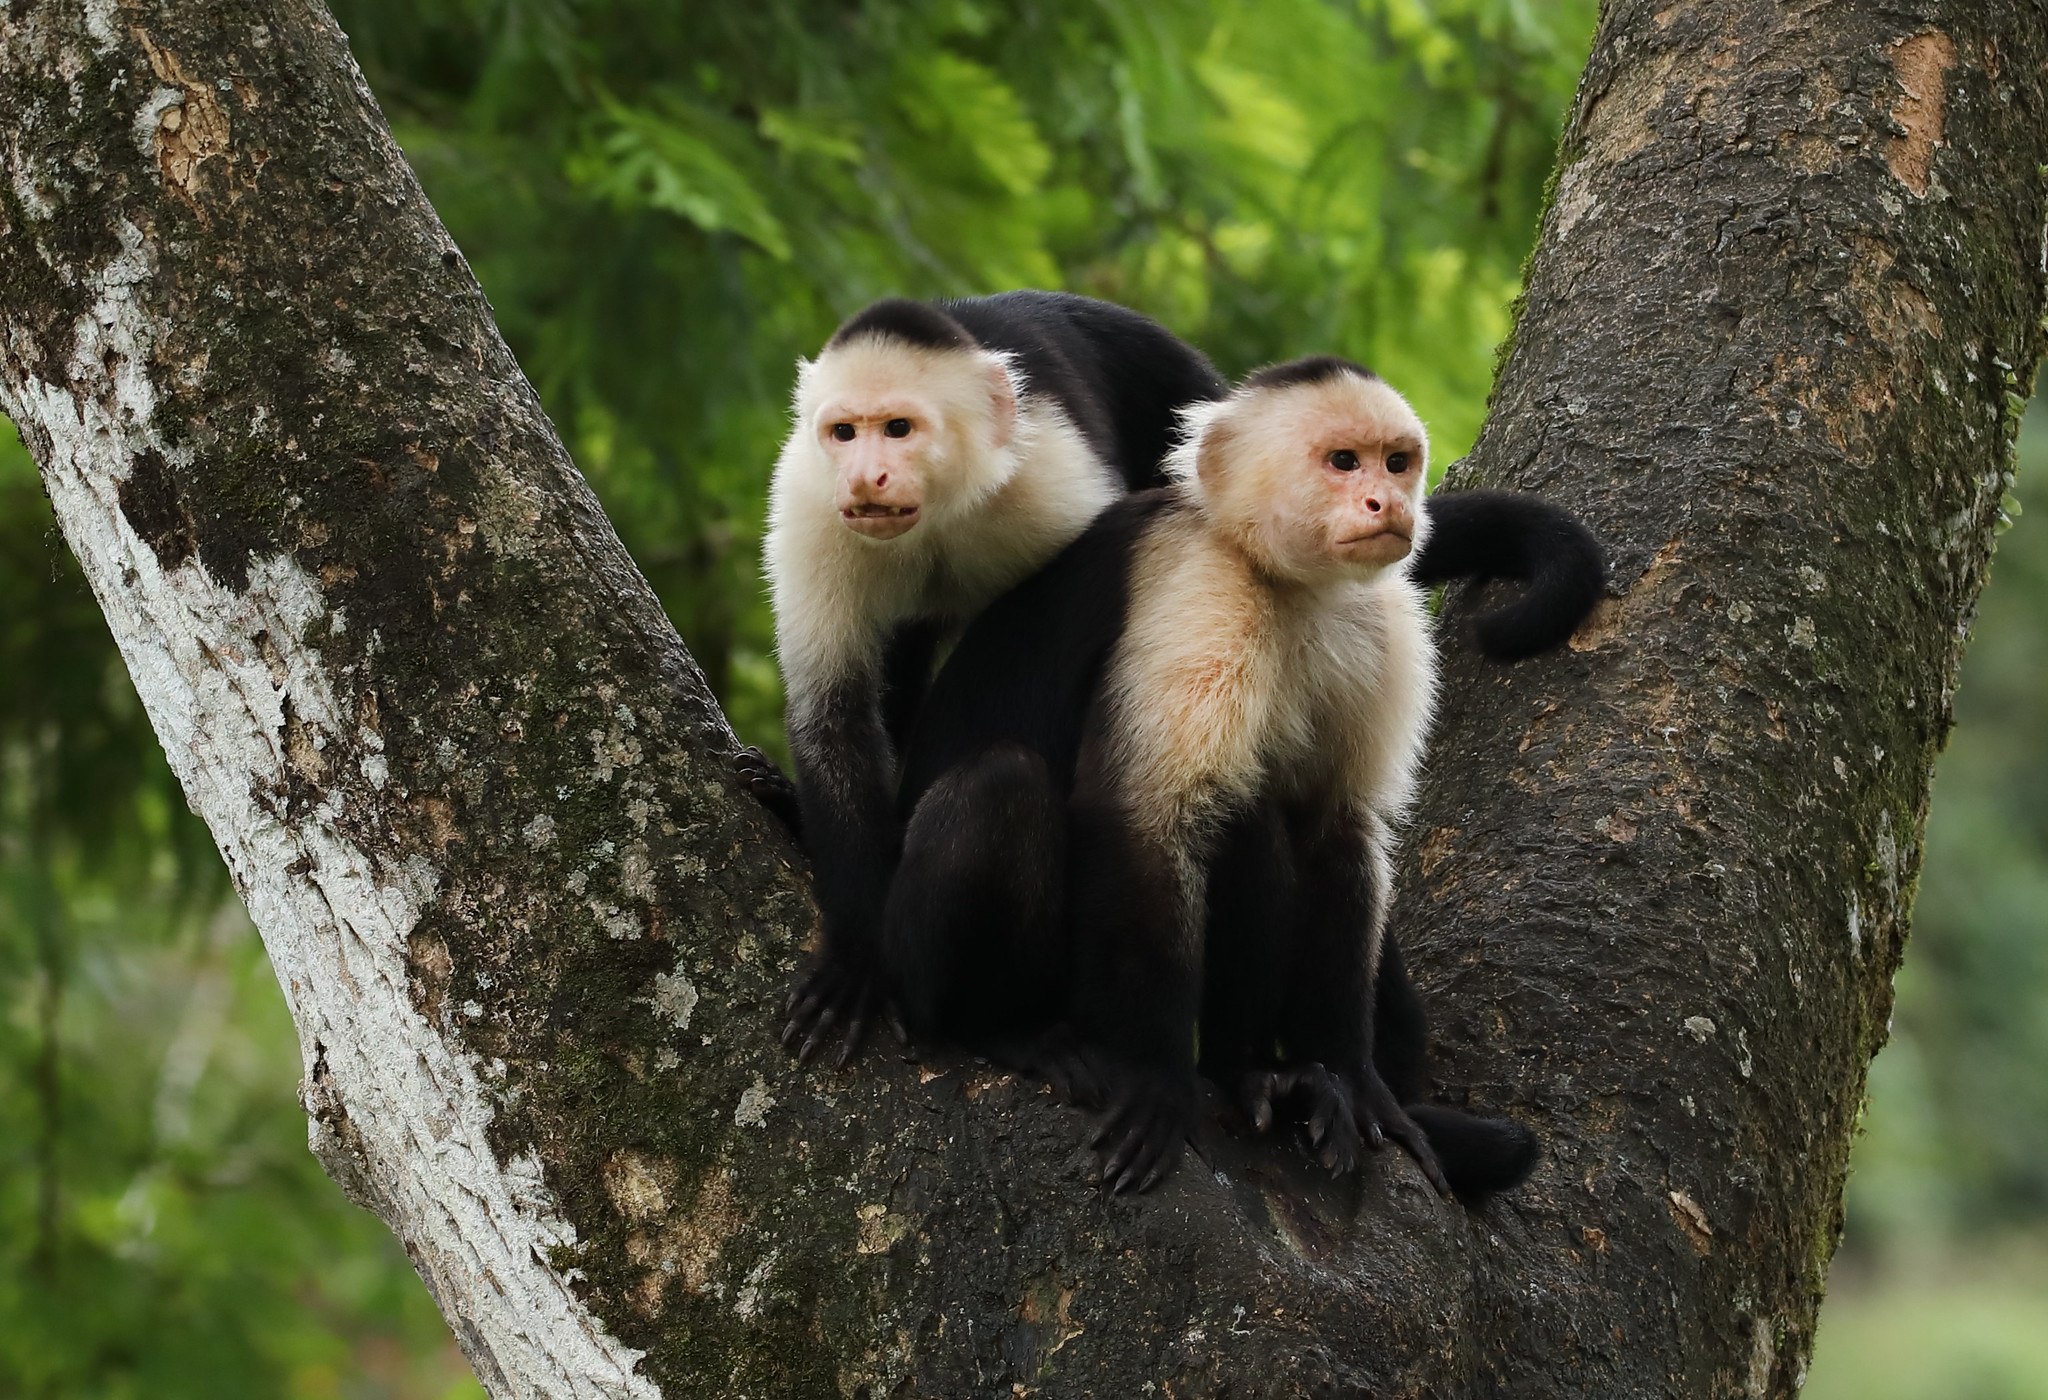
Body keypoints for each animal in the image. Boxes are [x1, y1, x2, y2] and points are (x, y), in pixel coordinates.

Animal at [761, 292, 1220, 1064]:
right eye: (844, 433)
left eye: (899, 429)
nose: (864, 476)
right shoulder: (811, 505)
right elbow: (835, 717)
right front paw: (858, 958)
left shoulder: (1053, 481)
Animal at [888, 358, 1556, 1195]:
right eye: (1344, 462)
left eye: (1396, 462)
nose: (1388, 501)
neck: (1287, 579)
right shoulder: (1197, 585)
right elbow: (1144, 815)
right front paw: (1158, 1080)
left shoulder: (1379, 621)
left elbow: (1339, 825)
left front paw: (1353, 1076)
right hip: (924, 965)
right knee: (1014, 788)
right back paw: (1005, 1028)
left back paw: (1266, 1075)